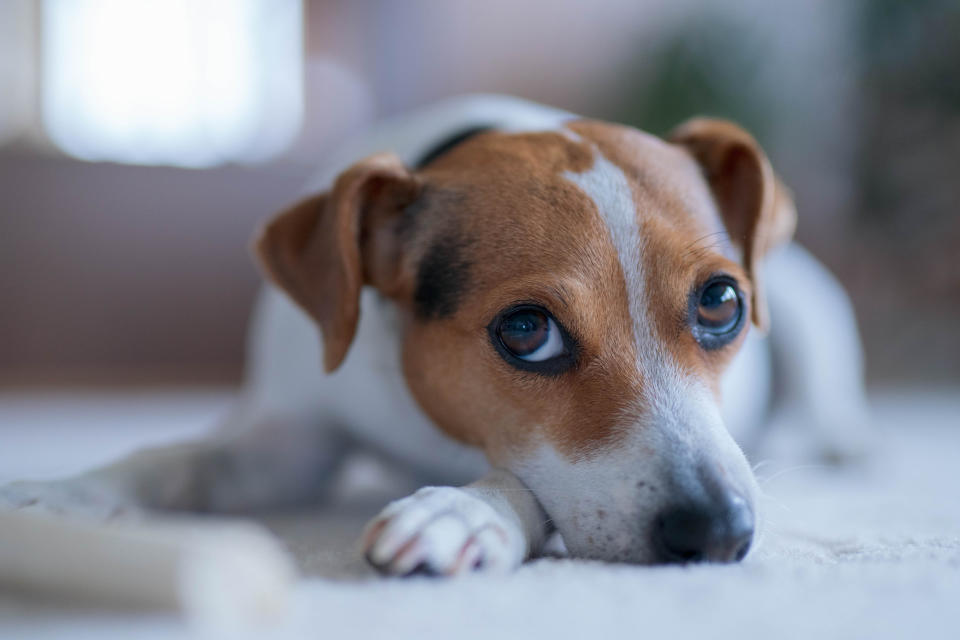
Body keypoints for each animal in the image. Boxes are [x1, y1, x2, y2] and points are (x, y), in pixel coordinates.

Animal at [0, 94, 872, 576]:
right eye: (526, 330)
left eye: (721, 303)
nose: (720, 530)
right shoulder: (289, 442)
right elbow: (175, 457)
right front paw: (66, 493)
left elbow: (520, 483)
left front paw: (458, 514)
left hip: (811, 304)